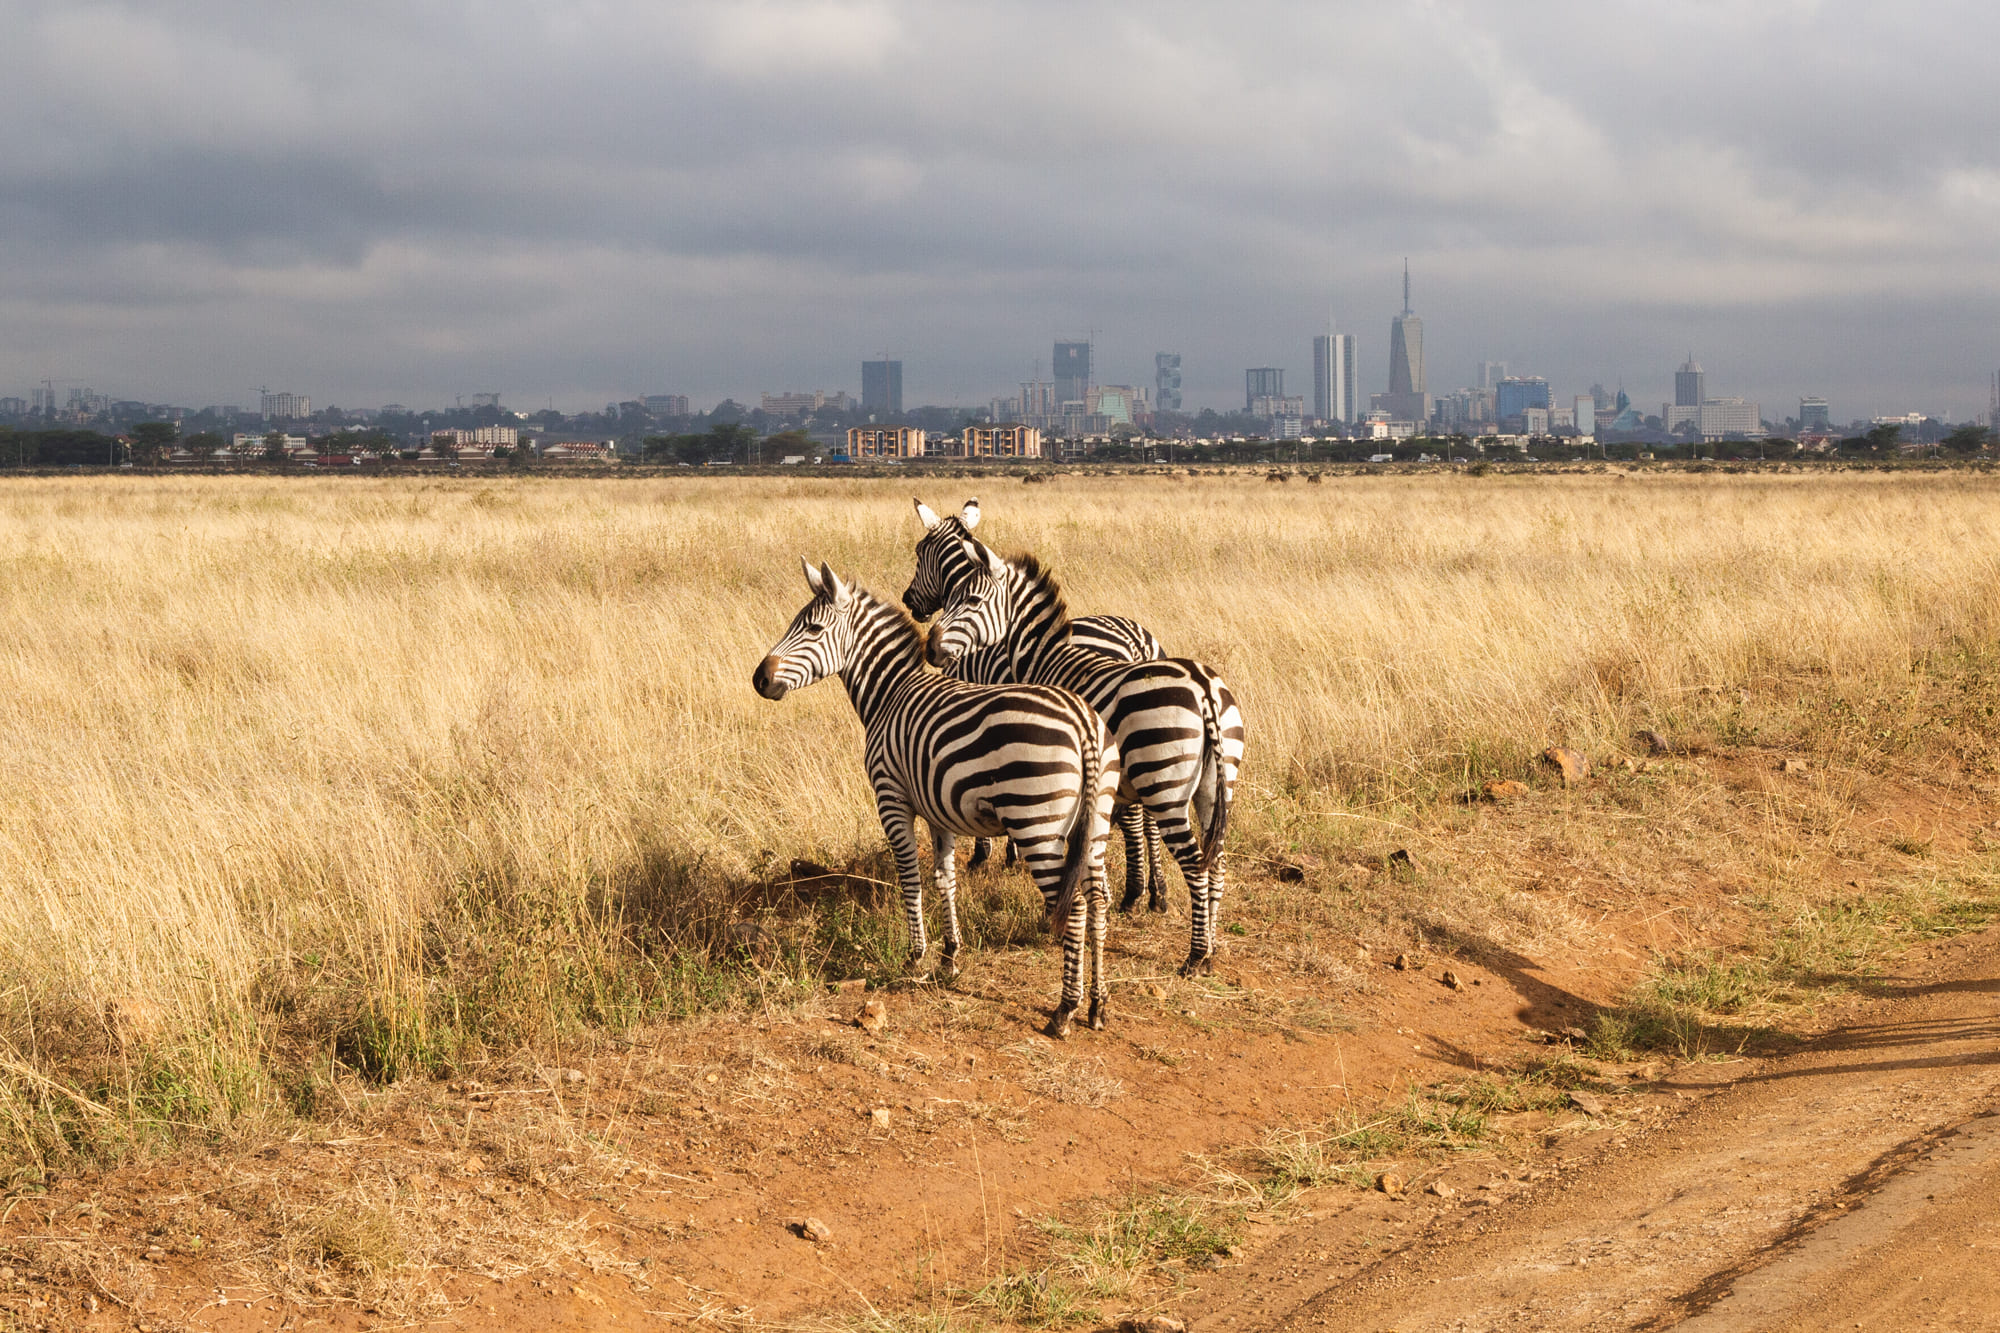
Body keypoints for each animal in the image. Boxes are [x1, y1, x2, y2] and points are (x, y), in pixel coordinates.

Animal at [752, 556, 1128, 1032]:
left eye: (814, 629)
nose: (759, 679)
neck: (888, 694)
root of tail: (1083, 723)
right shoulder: (938, 809)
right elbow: (945, 878)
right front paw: (950, 955)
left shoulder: (891, 797)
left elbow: (910, 878)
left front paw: (916, 956)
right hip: (1094, 824)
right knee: (1098, 900)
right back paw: (1098, 1005)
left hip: (1036, 825)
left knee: (1075, 906)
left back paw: (1065, 1009)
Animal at [904, 498, 1168, 904]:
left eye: (919, 552)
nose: (908, 601)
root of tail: (1136, 641)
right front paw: (1012, 851)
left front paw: (984, 854)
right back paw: (1157, 892)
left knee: (1133, 815)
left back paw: (1133, 889)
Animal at [924, 532, 1240, 976]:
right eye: (951, 596)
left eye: (970, 599)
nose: (930, 649)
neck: (1043, 660)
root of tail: (1203, 688)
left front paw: (1054, 916)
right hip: (1217, 785)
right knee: (1218, 860)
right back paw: (1210, 950)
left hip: (1166, 787)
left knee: (1196, 863)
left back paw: (1195, 956)